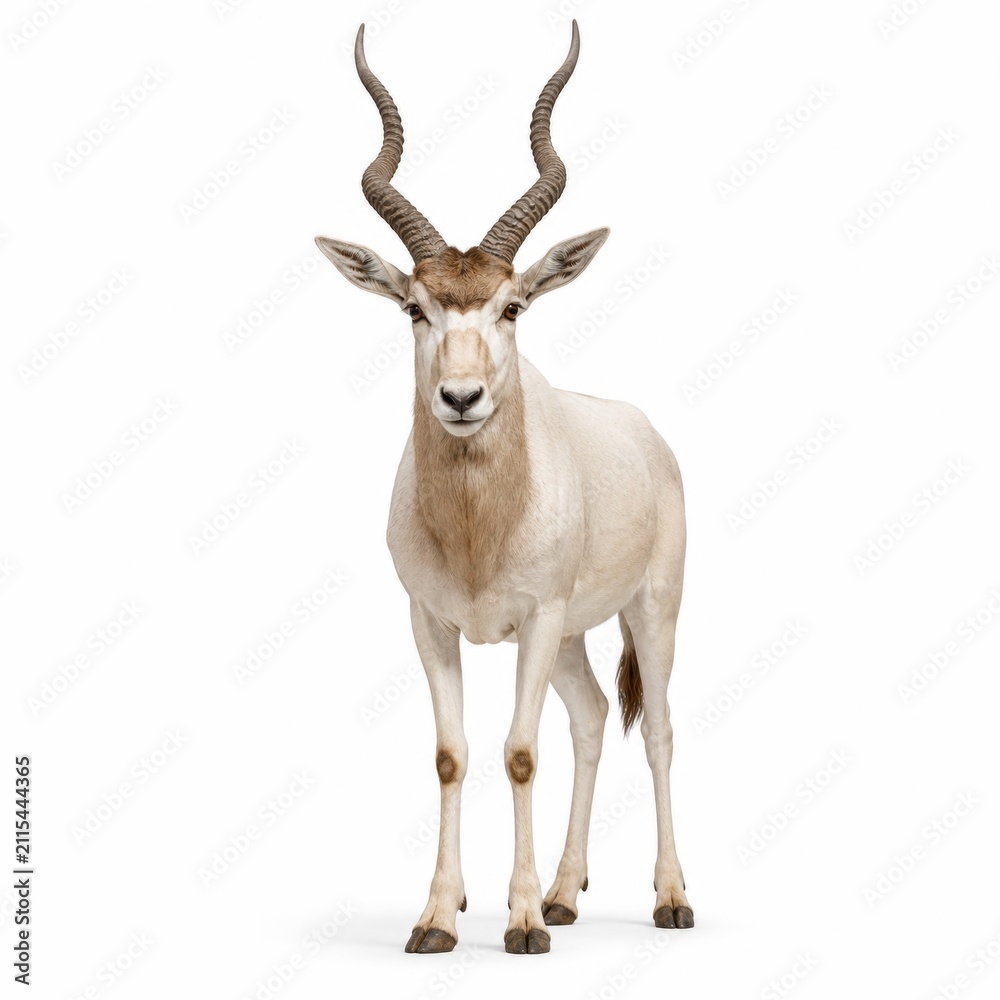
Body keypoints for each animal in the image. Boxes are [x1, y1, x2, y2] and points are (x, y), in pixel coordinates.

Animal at [316, 20, 693, 955]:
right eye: (414, 307)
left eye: (513, 305)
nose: (461, 398)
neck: (478, 529)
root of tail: (647, 433)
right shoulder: (433, 622)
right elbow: (452, 753)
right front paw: (438, 917)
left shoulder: (538, 618)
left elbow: (519, 751)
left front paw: (518, 925)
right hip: (569, 639)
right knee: (591, 719)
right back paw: (563, 893)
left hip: (646, 612)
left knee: (659, 730)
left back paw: (668, 900)